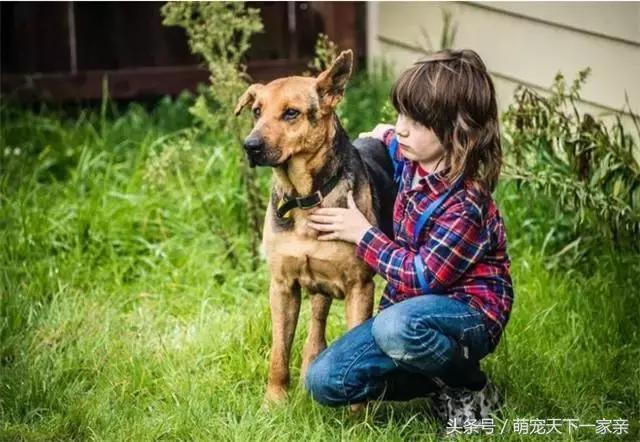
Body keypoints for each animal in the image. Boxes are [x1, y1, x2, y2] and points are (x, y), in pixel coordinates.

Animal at [232, 49, 398, 404]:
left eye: (291, 113)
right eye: (256, 111)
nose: (249, 146)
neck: (305, 197)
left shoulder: (359, 287)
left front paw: (357, 414)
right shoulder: (282, 286)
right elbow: (279, 352)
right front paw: (274, 402)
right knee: (317, 325)